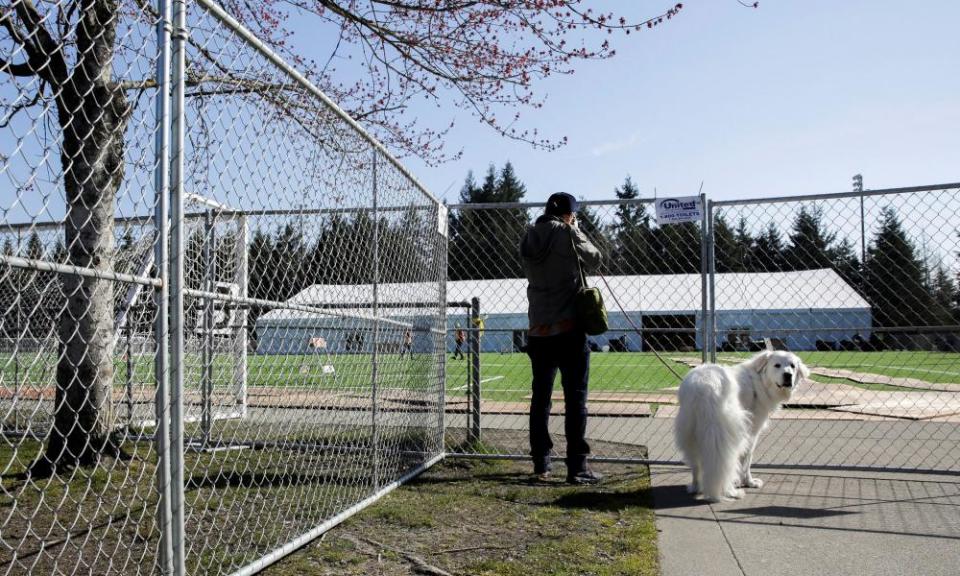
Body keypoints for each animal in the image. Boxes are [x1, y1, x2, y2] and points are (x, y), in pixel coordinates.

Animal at [676, 348, 808, 502]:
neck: (759, 381)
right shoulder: (752, 433)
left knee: (696, 464)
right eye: (777, 365)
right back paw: (729, 491)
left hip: (689, 433)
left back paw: (695, 487)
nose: (788, 375)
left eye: (792, 366)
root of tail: (704, 386)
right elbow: (746, 460)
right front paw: (749, 482)